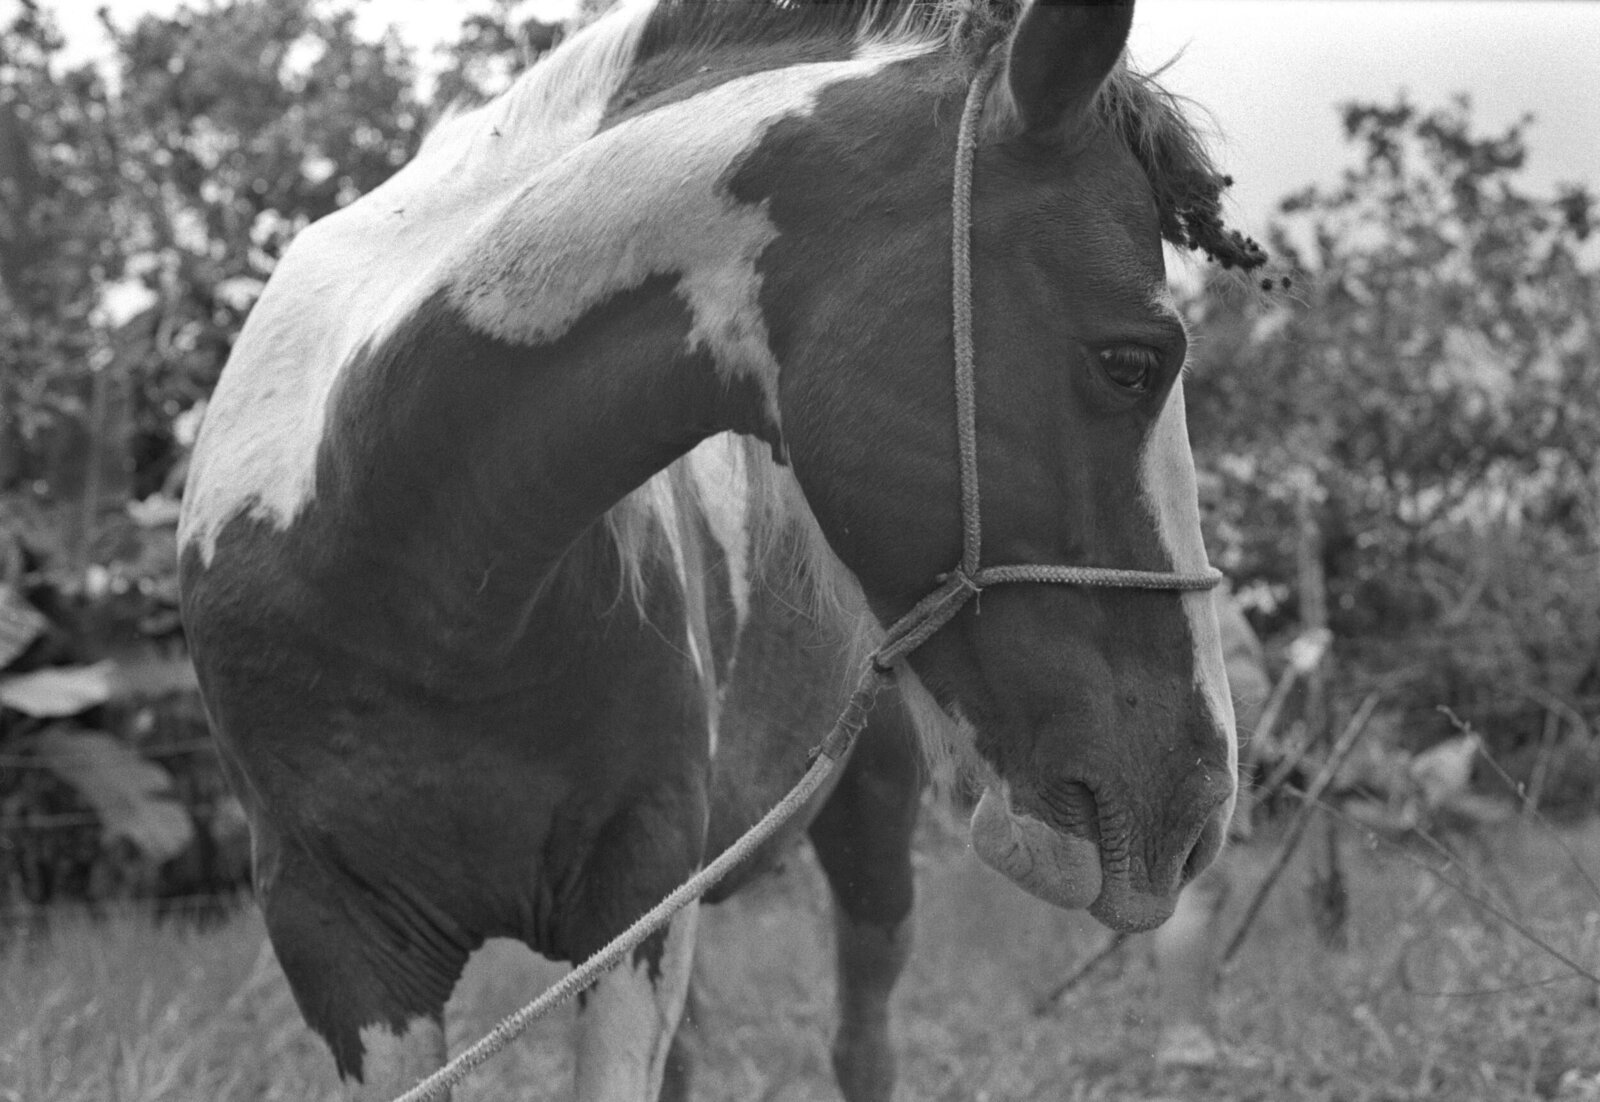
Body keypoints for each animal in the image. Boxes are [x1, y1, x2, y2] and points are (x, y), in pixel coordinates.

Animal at [178, 4, 1260, 1094]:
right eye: (1131, 363)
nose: (1194, 804)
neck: (422, 591)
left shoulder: (635, 891)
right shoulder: (337, 936)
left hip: (869, 825)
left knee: (860, 1041)